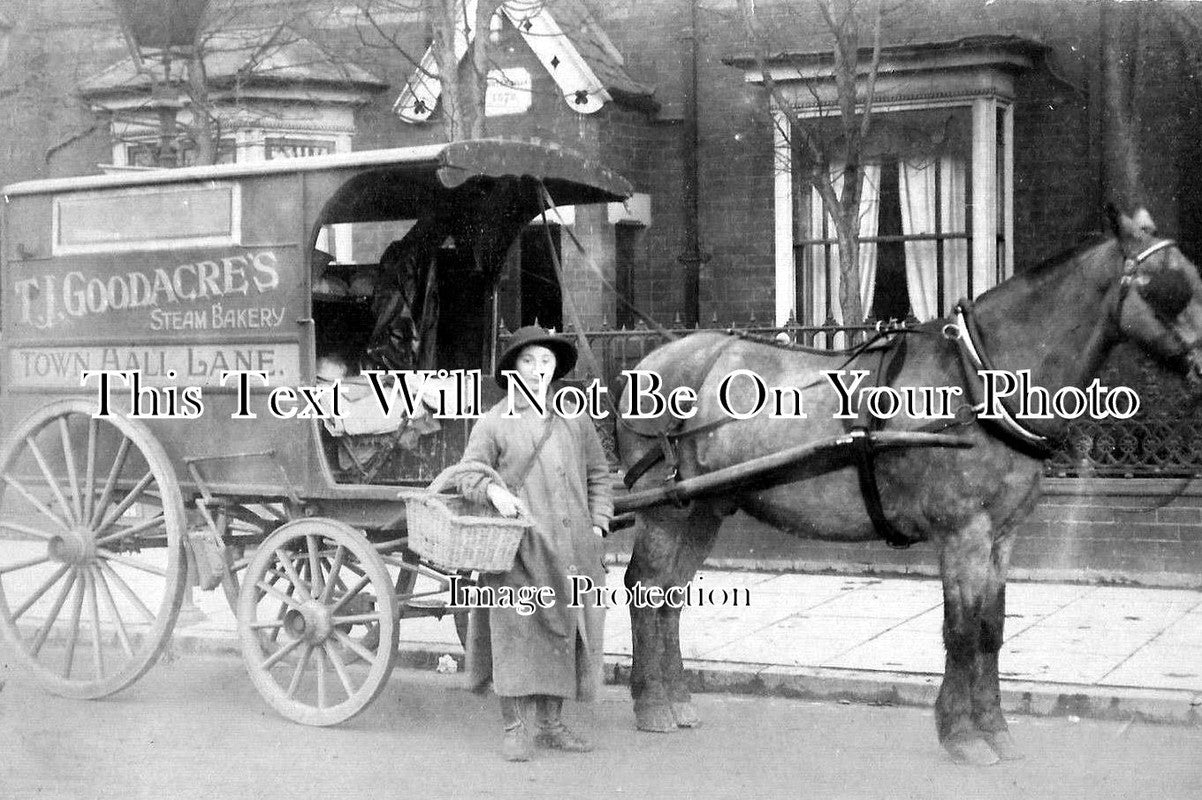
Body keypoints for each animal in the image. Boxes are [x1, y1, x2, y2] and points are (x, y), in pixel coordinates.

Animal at [615, 209, 1202, 763]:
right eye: (1169, 288)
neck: (977, 378)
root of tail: (649, 361)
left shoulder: (1003, 533)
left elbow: (992, 629)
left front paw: (996, 728)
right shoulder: (963, 529)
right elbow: (961, 630)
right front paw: (962, 734)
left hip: (703, 508)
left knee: (670, 596)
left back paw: (678, 699)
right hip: (665, 509)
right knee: (646, 588)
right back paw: (652, 703)